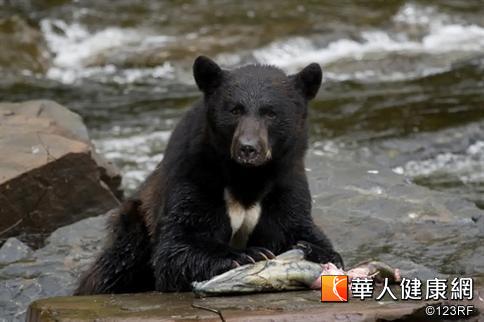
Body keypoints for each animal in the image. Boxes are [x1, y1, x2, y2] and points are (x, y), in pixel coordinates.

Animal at [74, 56, 340, 294]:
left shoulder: (285, 180)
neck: (247, 177)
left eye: (271, 113)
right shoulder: (195, 175)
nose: (248, 148)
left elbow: (299, 226)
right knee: (115, 266)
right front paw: (248, 254)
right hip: (134, 223)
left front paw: (312, 249)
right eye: (235, 110)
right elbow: (178, 245)